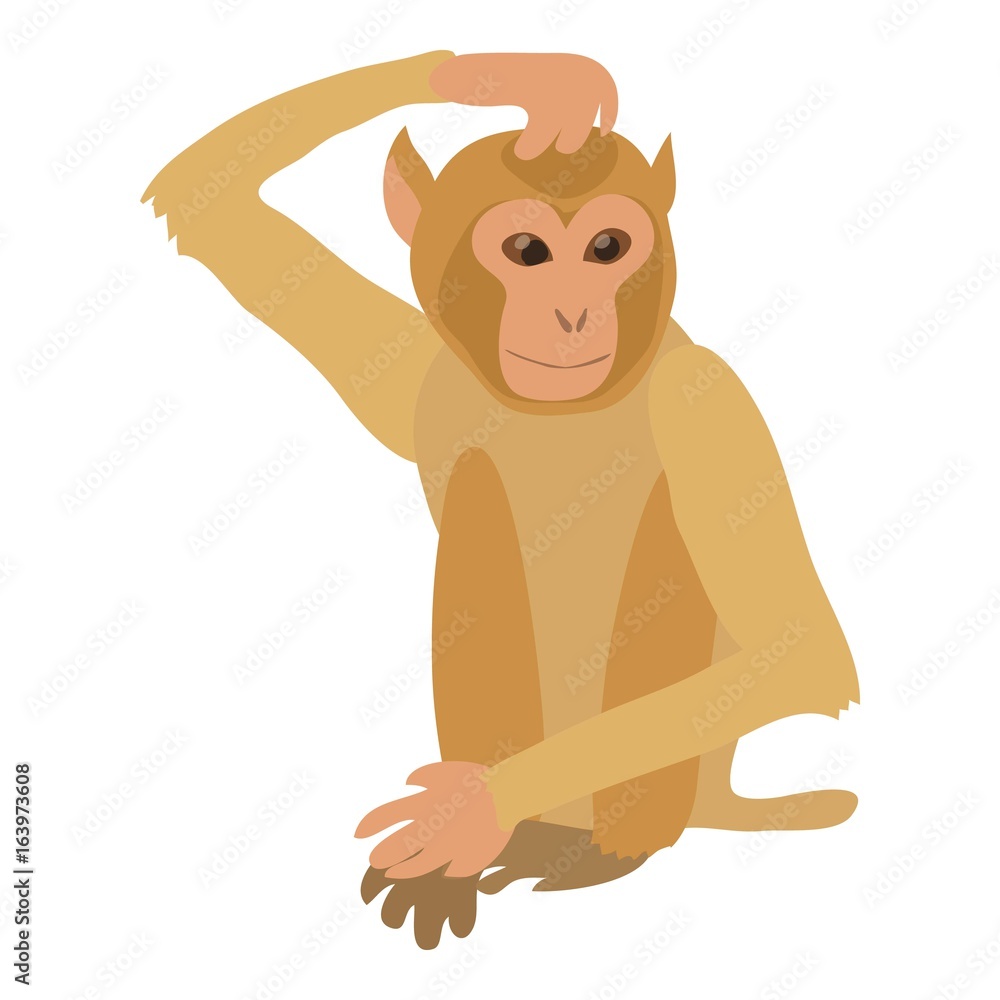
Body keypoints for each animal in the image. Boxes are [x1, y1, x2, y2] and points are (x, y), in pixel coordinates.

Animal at [144, 50, 860, 950]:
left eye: (607, 247)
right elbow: (210, 201)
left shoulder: (706, 400)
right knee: (480, 505)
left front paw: (470, 814)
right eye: (526, 250)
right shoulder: (425, 370)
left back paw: (584, 849)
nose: (574, 312)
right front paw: (524, 77)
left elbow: (802, 656)